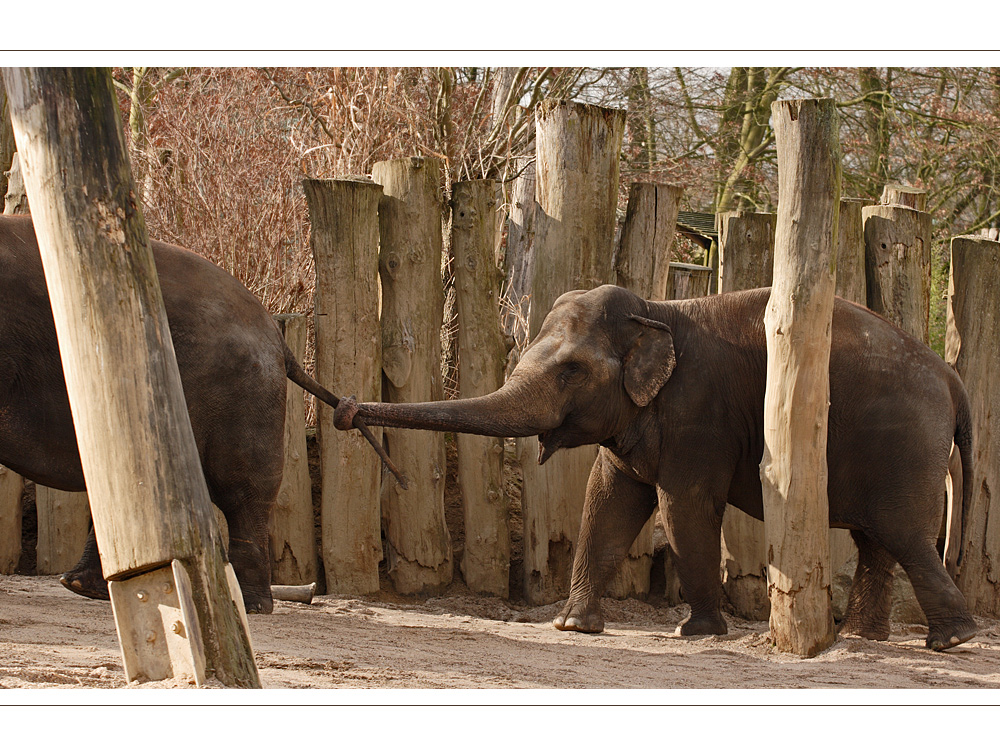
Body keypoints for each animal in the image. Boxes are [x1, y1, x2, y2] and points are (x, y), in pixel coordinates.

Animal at [336, 284, 976, 648]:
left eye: (570, 371)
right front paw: (571, 628)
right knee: (878, 540)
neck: (657, 310)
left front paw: (691, 632)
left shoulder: (700, 409)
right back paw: (864, 637)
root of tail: (952, 379)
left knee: (903, 534)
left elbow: (683, 503)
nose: (344, 409)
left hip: (904, 442)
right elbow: (607, 499)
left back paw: (951, 641)